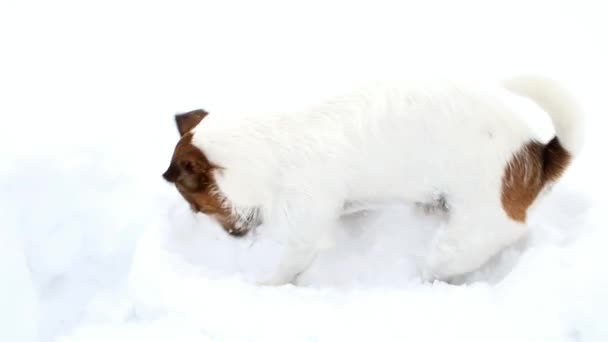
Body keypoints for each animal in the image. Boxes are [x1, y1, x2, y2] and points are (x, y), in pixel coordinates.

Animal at [163, 76, 584, 284]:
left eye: (195, 205)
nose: (235, 236)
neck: (269, 142)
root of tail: (537, 152)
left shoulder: (304, 231)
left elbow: (284, 271)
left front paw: (264, 289)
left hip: (460, 243)